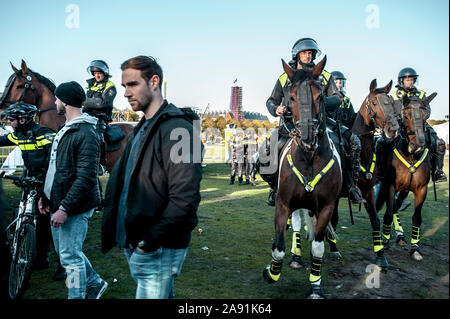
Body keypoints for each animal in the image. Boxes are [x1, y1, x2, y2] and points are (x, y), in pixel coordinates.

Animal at [264, 55, 342, 300]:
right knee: (297, 224)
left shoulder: (326, 207)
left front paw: (315, 286)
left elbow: (318, 247)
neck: (308, 158)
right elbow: (278, 248)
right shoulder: (283, 204)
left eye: (320, 96)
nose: (308, 139)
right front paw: (272, 272)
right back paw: (296, 257)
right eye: (291, 97)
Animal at [384, 93, 436, 262]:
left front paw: (415, 249)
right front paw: (384, 242)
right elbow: (388, 213)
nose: (417, 146)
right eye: (406, 116)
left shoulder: (421, 190)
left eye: (426, 115)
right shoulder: (390, 186)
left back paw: (400, 236)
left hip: (406, 190)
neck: (411, 157)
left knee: (398, 205)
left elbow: (417, 218)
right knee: (393, 208)